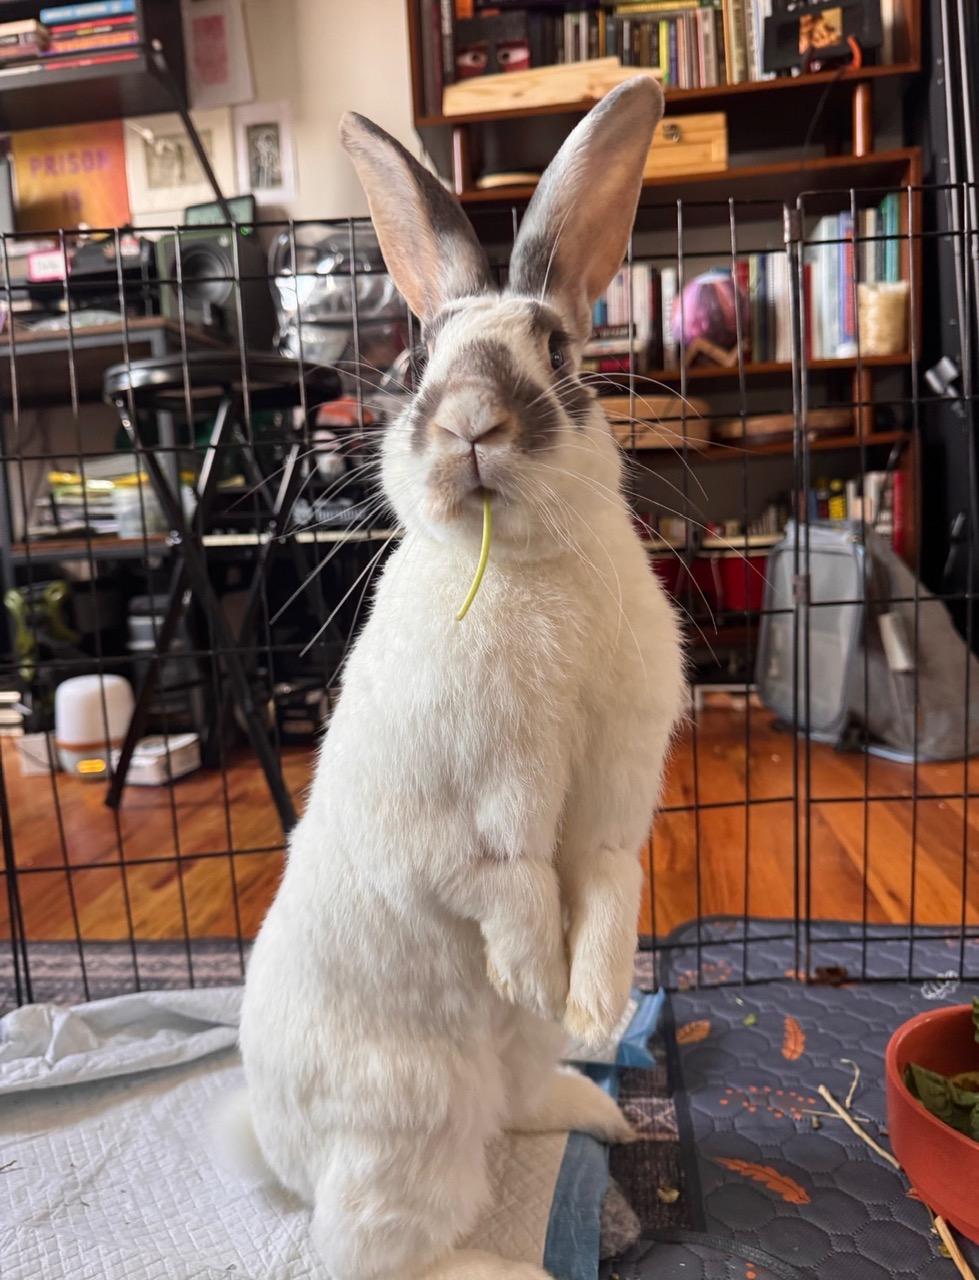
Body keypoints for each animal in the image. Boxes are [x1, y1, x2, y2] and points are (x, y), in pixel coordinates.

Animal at [229, 75, 685, 1280]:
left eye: (559, 351)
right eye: (418, 361)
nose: (475, 423)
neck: (522, 563)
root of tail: (277, 1148)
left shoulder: (616, 799)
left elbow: (607, 880)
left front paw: (595, 998)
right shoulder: (445, 817)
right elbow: (504, 875)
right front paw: (531, 970)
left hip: (496, 1077)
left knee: (520, 1107)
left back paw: (599, 1106)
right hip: (407, 1125)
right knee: (366, 1251)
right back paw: (507, 1262)